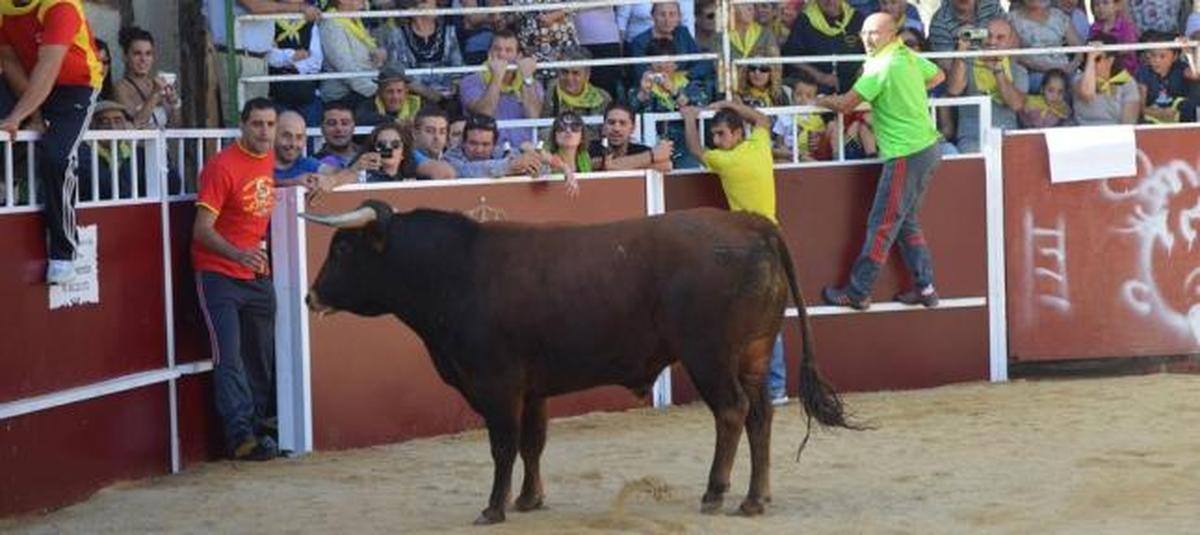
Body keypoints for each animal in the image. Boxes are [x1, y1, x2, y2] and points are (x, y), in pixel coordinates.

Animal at [304, 200, 849, 523]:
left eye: (344, 248)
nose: (310, 297)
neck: (455, 270)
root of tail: (752, 223)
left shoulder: (496, 384)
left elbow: (503, 446)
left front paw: (493, 508)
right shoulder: (532, 388)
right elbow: (533, 443)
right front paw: (529, 500)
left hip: (709, 355)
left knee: (732, 412)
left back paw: (716, 493)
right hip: (753, 355)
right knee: (761, 416)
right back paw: (755, 498)